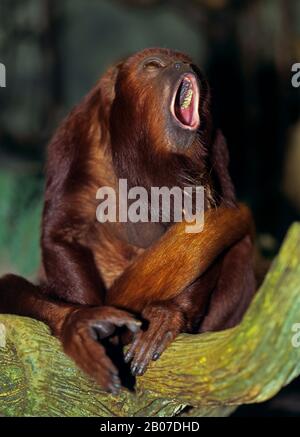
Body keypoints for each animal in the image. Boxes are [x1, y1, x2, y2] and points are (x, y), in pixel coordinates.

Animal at [0, 47, 255, 392]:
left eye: (192, 65)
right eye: (154, 65)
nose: (183, 66)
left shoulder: (217, 145)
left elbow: (213, 226)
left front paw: (170, 313)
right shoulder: (77, 133)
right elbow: (60, 233)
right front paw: (88, 322)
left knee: (239, 244)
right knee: (10, 287)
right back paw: (76, 323)